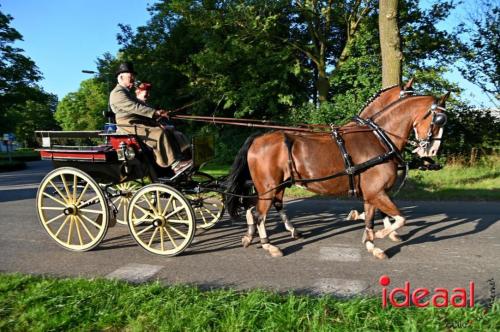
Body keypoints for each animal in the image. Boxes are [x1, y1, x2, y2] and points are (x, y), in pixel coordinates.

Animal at [225, 93, 448, 260]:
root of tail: (258, 138)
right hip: (268, 188)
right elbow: (400, 218)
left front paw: (372, 244)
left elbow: (370, 220)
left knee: (254, 206)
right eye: (439, 120)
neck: (378, 138)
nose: (433, 151)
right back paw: (269, 246)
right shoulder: (377, 192)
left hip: (273, 187)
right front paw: (380, 234)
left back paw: (253, 236)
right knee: (259, 214)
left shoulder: (372, 194)